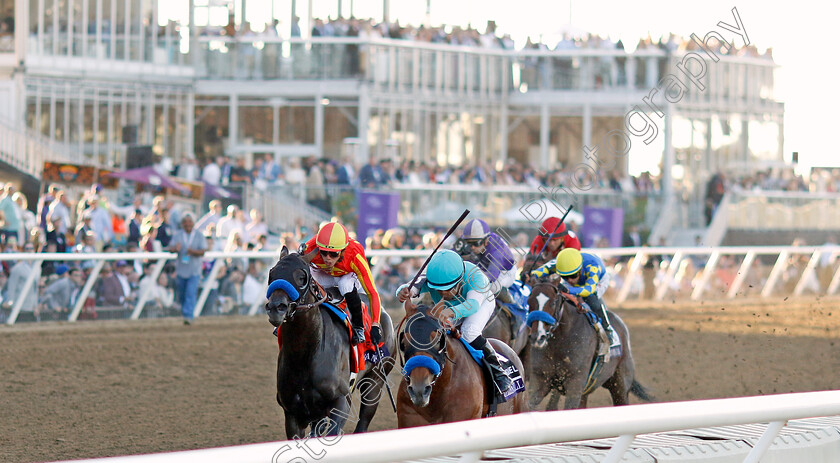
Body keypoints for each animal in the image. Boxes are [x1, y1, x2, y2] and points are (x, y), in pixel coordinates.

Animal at [266, 246, 398, 438]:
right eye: (272, 274)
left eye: (302, 277)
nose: (276, 307)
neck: (305, 356)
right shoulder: (292, 411)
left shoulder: (341, 401)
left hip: (376, 380)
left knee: (364, 419)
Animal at [528, 280, 652, 412]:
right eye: (529, 302)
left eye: (553, 303)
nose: (537, 337)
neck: (560, 342)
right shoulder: (539, 380)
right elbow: (531, 405)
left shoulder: (575, 385)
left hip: (620, 385)